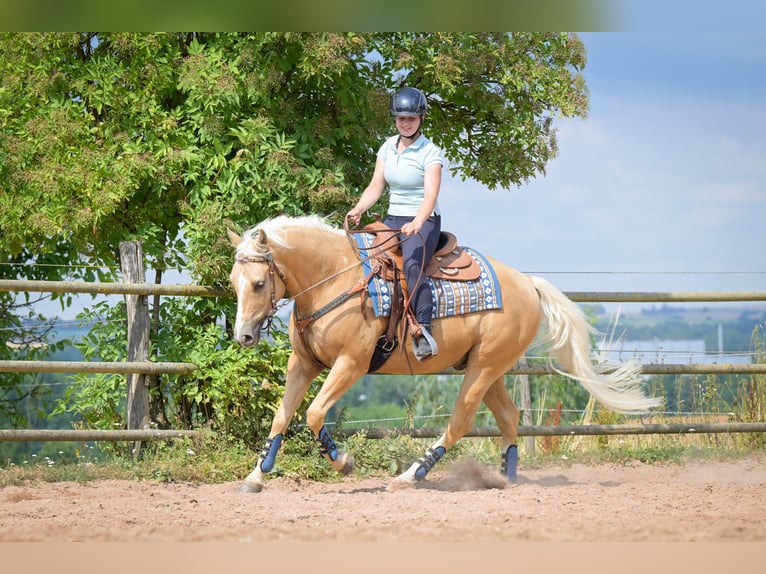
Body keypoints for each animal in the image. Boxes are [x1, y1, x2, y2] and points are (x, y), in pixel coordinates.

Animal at [227, 214, 661, 493]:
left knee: (461, 420)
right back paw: (505, 477)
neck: (336, 277)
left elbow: (315, 413)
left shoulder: (350, 364)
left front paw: (343, 461)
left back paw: (411, 476)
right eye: (234, 281)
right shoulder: (303, 363)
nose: (243, 335)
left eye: (259, 282)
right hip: (490, 368)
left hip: (483, 368)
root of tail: (527, 283)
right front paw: (256, 476)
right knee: (508, 416)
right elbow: (282, 415)